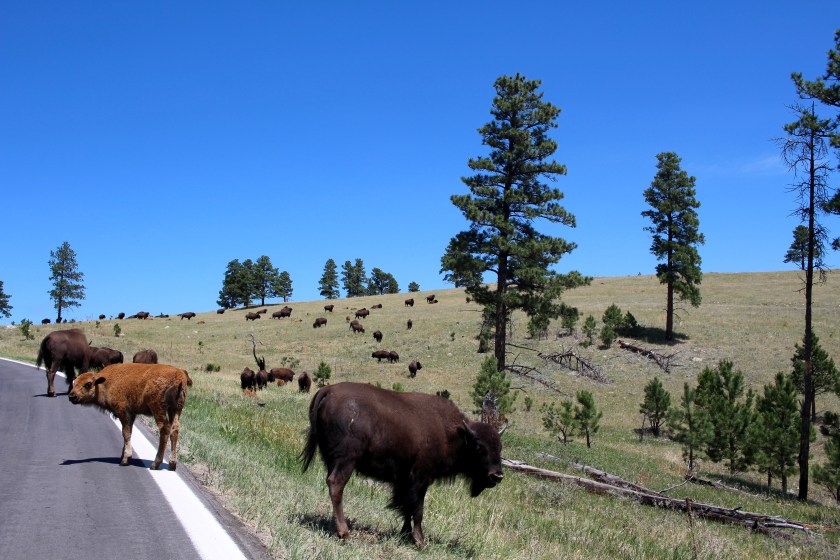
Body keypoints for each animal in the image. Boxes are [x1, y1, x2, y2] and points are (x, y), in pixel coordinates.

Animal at [301, 382, 504, 547]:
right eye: (479, 447)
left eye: (500, 447)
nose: (497, 475)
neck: (453, 433)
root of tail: (328, 390)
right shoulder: (420, 479)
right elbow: (418, 510)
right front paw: (420, 542)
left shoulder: (405, 481)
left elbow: (406, 508)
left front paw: (405, 535)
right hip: (347, 460)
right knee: (336, 485)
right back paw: (344, 533)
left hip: (330, 459)